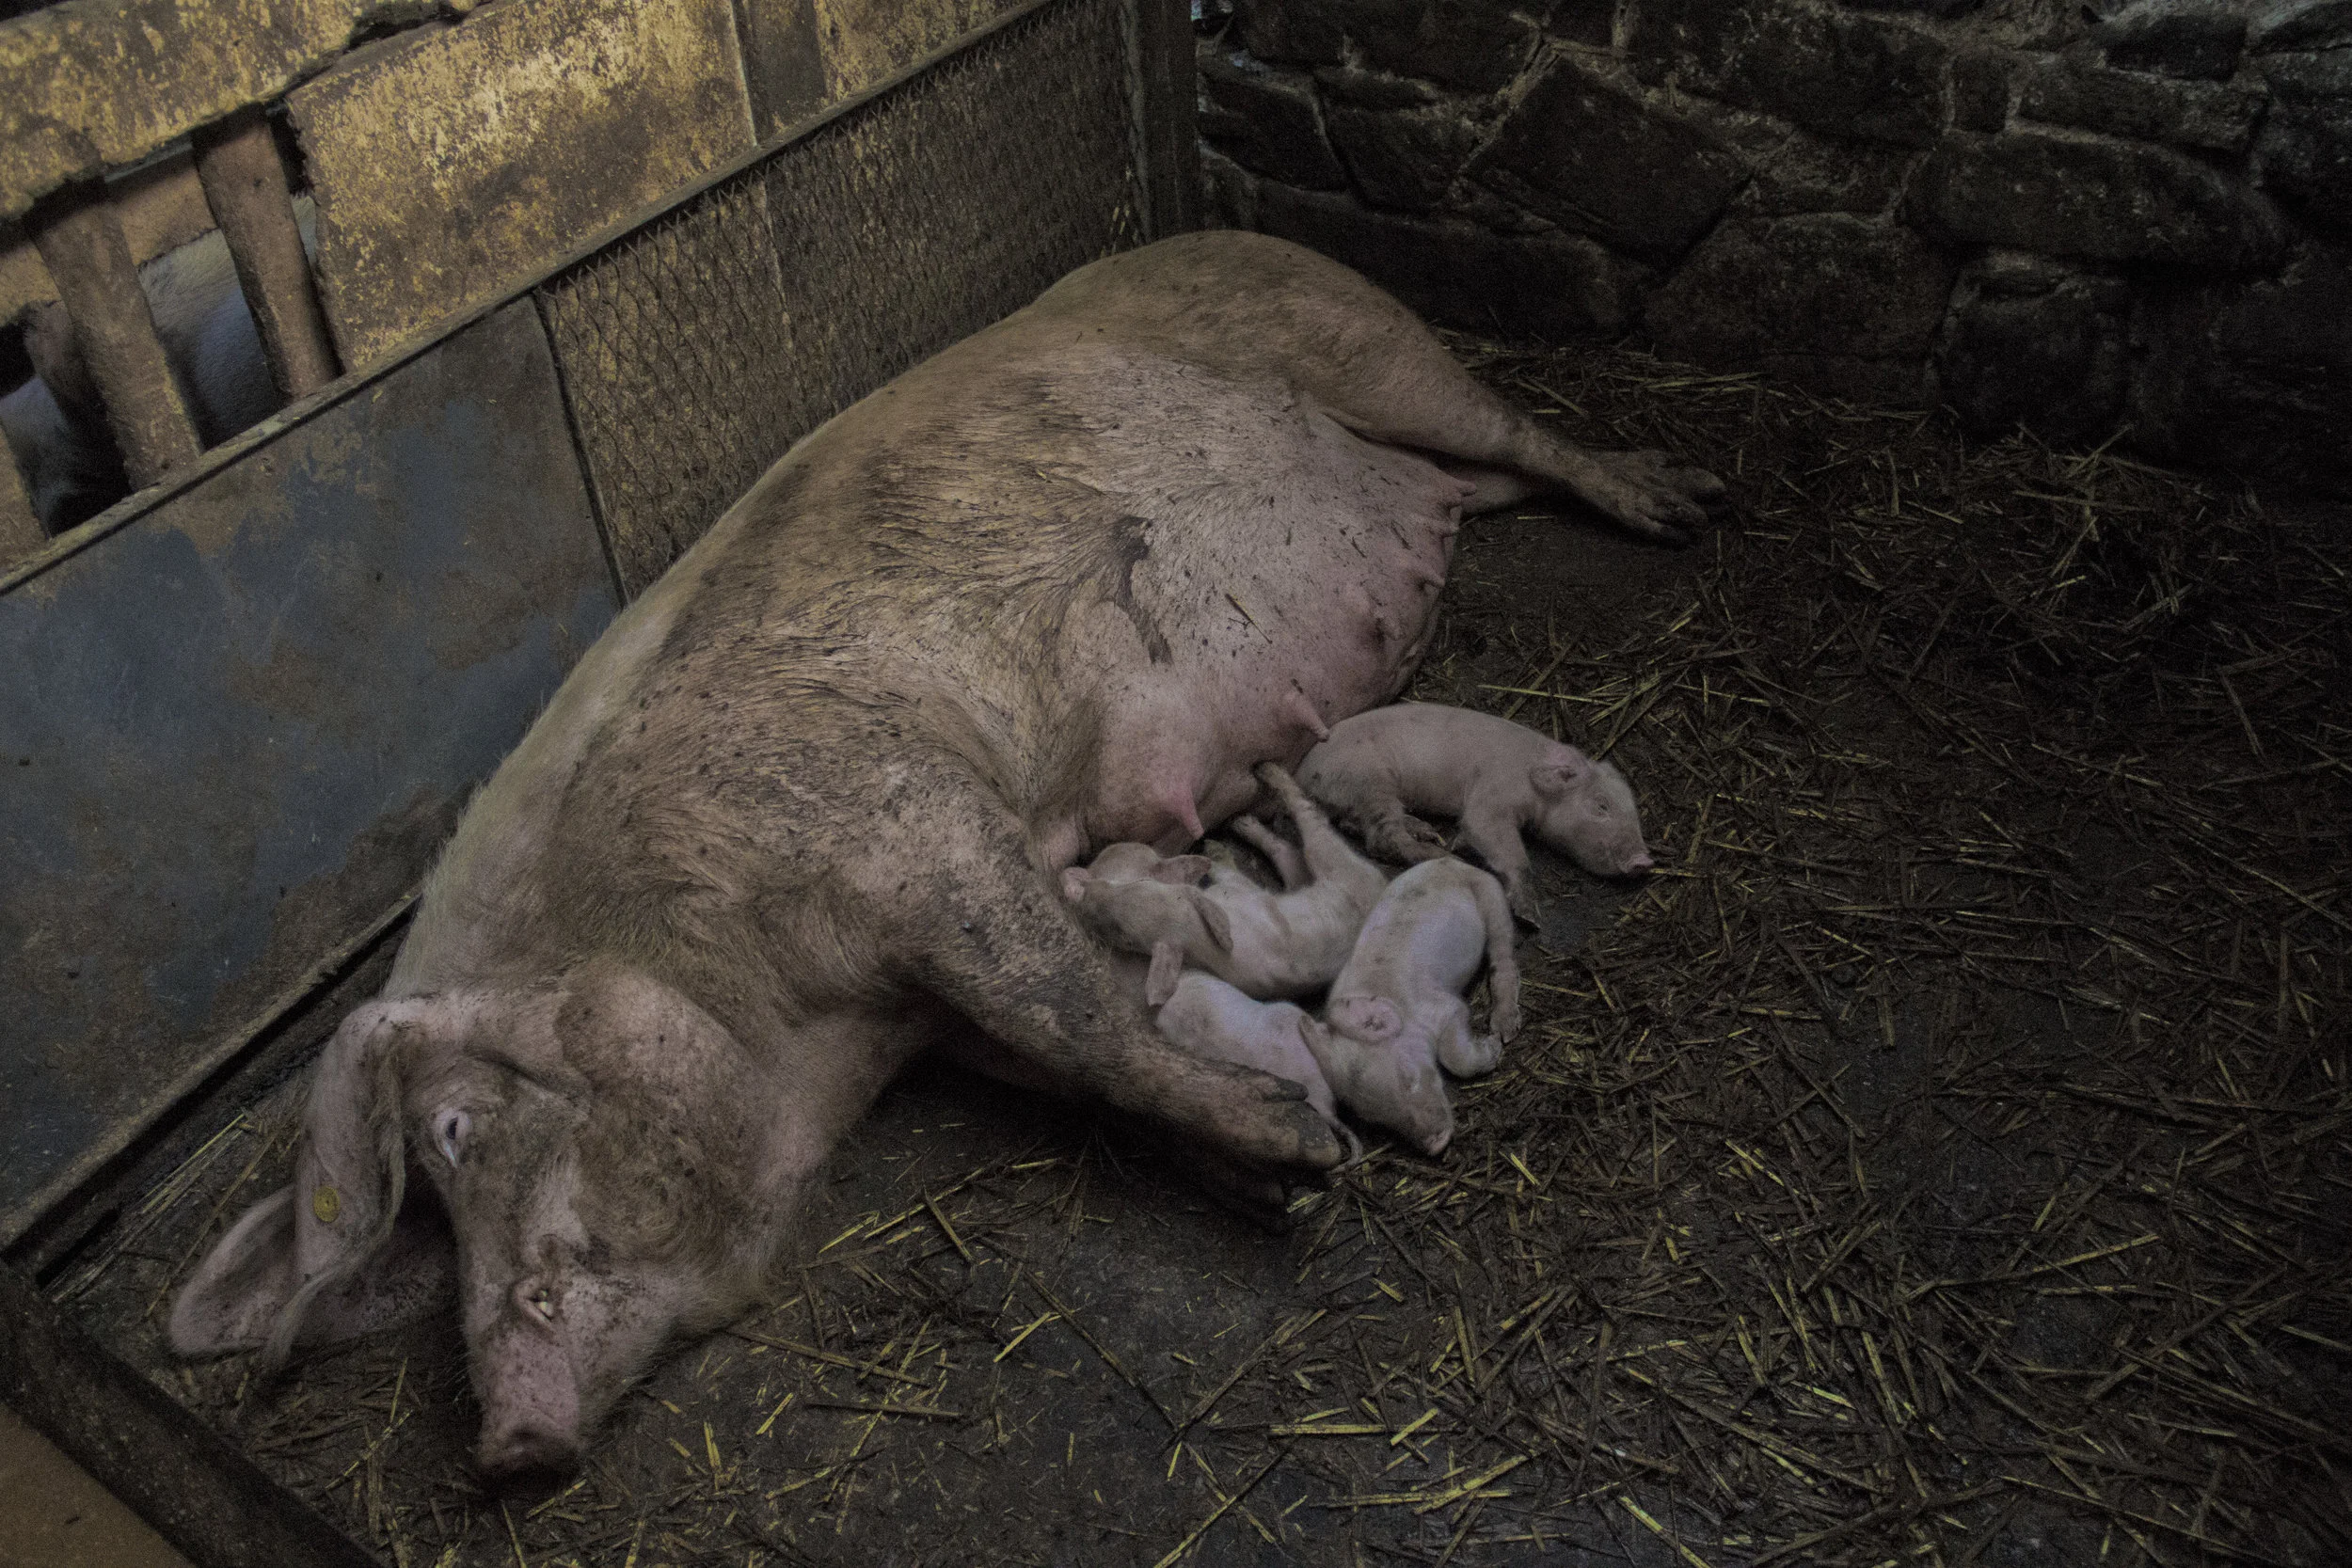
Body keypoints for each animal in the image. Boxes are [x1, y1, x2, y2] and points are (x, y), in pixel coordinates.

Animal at [1061, 762, 1389, 1002]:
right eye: (1125, 939)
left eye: (1139, 884)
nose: (1083, 900)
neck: (1193, 933)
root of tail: (1382, 884)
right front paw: (1215, 844)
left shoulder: (1237, 892)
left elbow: (1226, 872)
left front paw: (1211, 848)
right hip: (1310, 872)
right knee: (1290, 848)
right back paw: (1243, 818)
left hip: (1338, 865)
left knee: (1310, 820)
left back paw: (1263, 775)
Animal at [1298, 702, 1653, 925]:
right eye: (1601, 806)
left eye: (1634, 812)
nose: (1645, 861)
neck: (1530, 782)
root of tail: (1306, 771)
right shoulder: (1491, 796)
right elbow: (1497, 840)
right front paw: (1530, 917)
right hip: (1370, 781)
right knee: (1383, 839)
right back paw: (1443, 854)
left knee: (1362, 826)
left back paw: (1429, 832)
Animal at [1315, 857, 1523, 1156]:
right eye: (1378, 1118)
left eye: (1408, 1078)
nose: (1436, 1145)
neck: (1399, 1005)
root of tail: (1450, 861)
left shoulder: (1444, 1007)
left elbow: (1454, 1055)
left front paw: (1494, 1047)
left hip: (1492, 896)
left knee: (1503, 955)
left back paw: (1505, 1030)